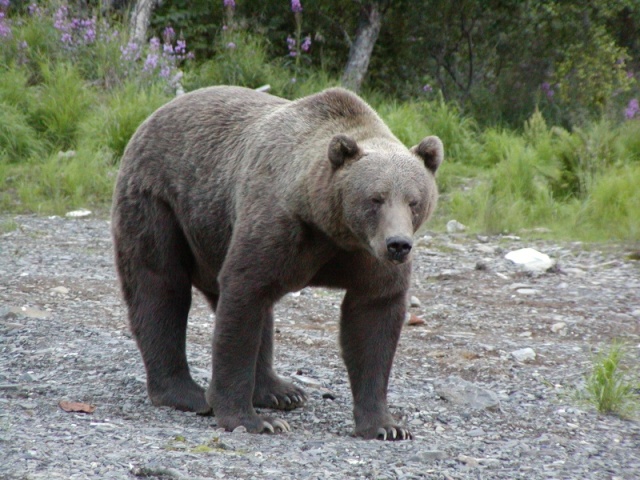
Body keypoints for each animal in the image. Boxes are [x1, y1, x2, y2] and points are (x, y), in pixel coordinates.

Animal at [111, 85, 440, 438]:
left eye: (414, 201)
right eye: (375, 199)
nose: (398, 245)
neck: (331, 229)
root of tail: (153, 117)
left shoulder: (366, 256)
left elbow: (374, 318)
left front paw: (385, 426)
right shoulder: (280, 225)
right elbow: (243, 297)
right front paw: (251, 419)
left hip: (214, 235)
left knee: (257, 310)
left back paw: (280, 391)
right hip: (159, 202)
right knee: (160, 288)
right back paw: (186, 392)